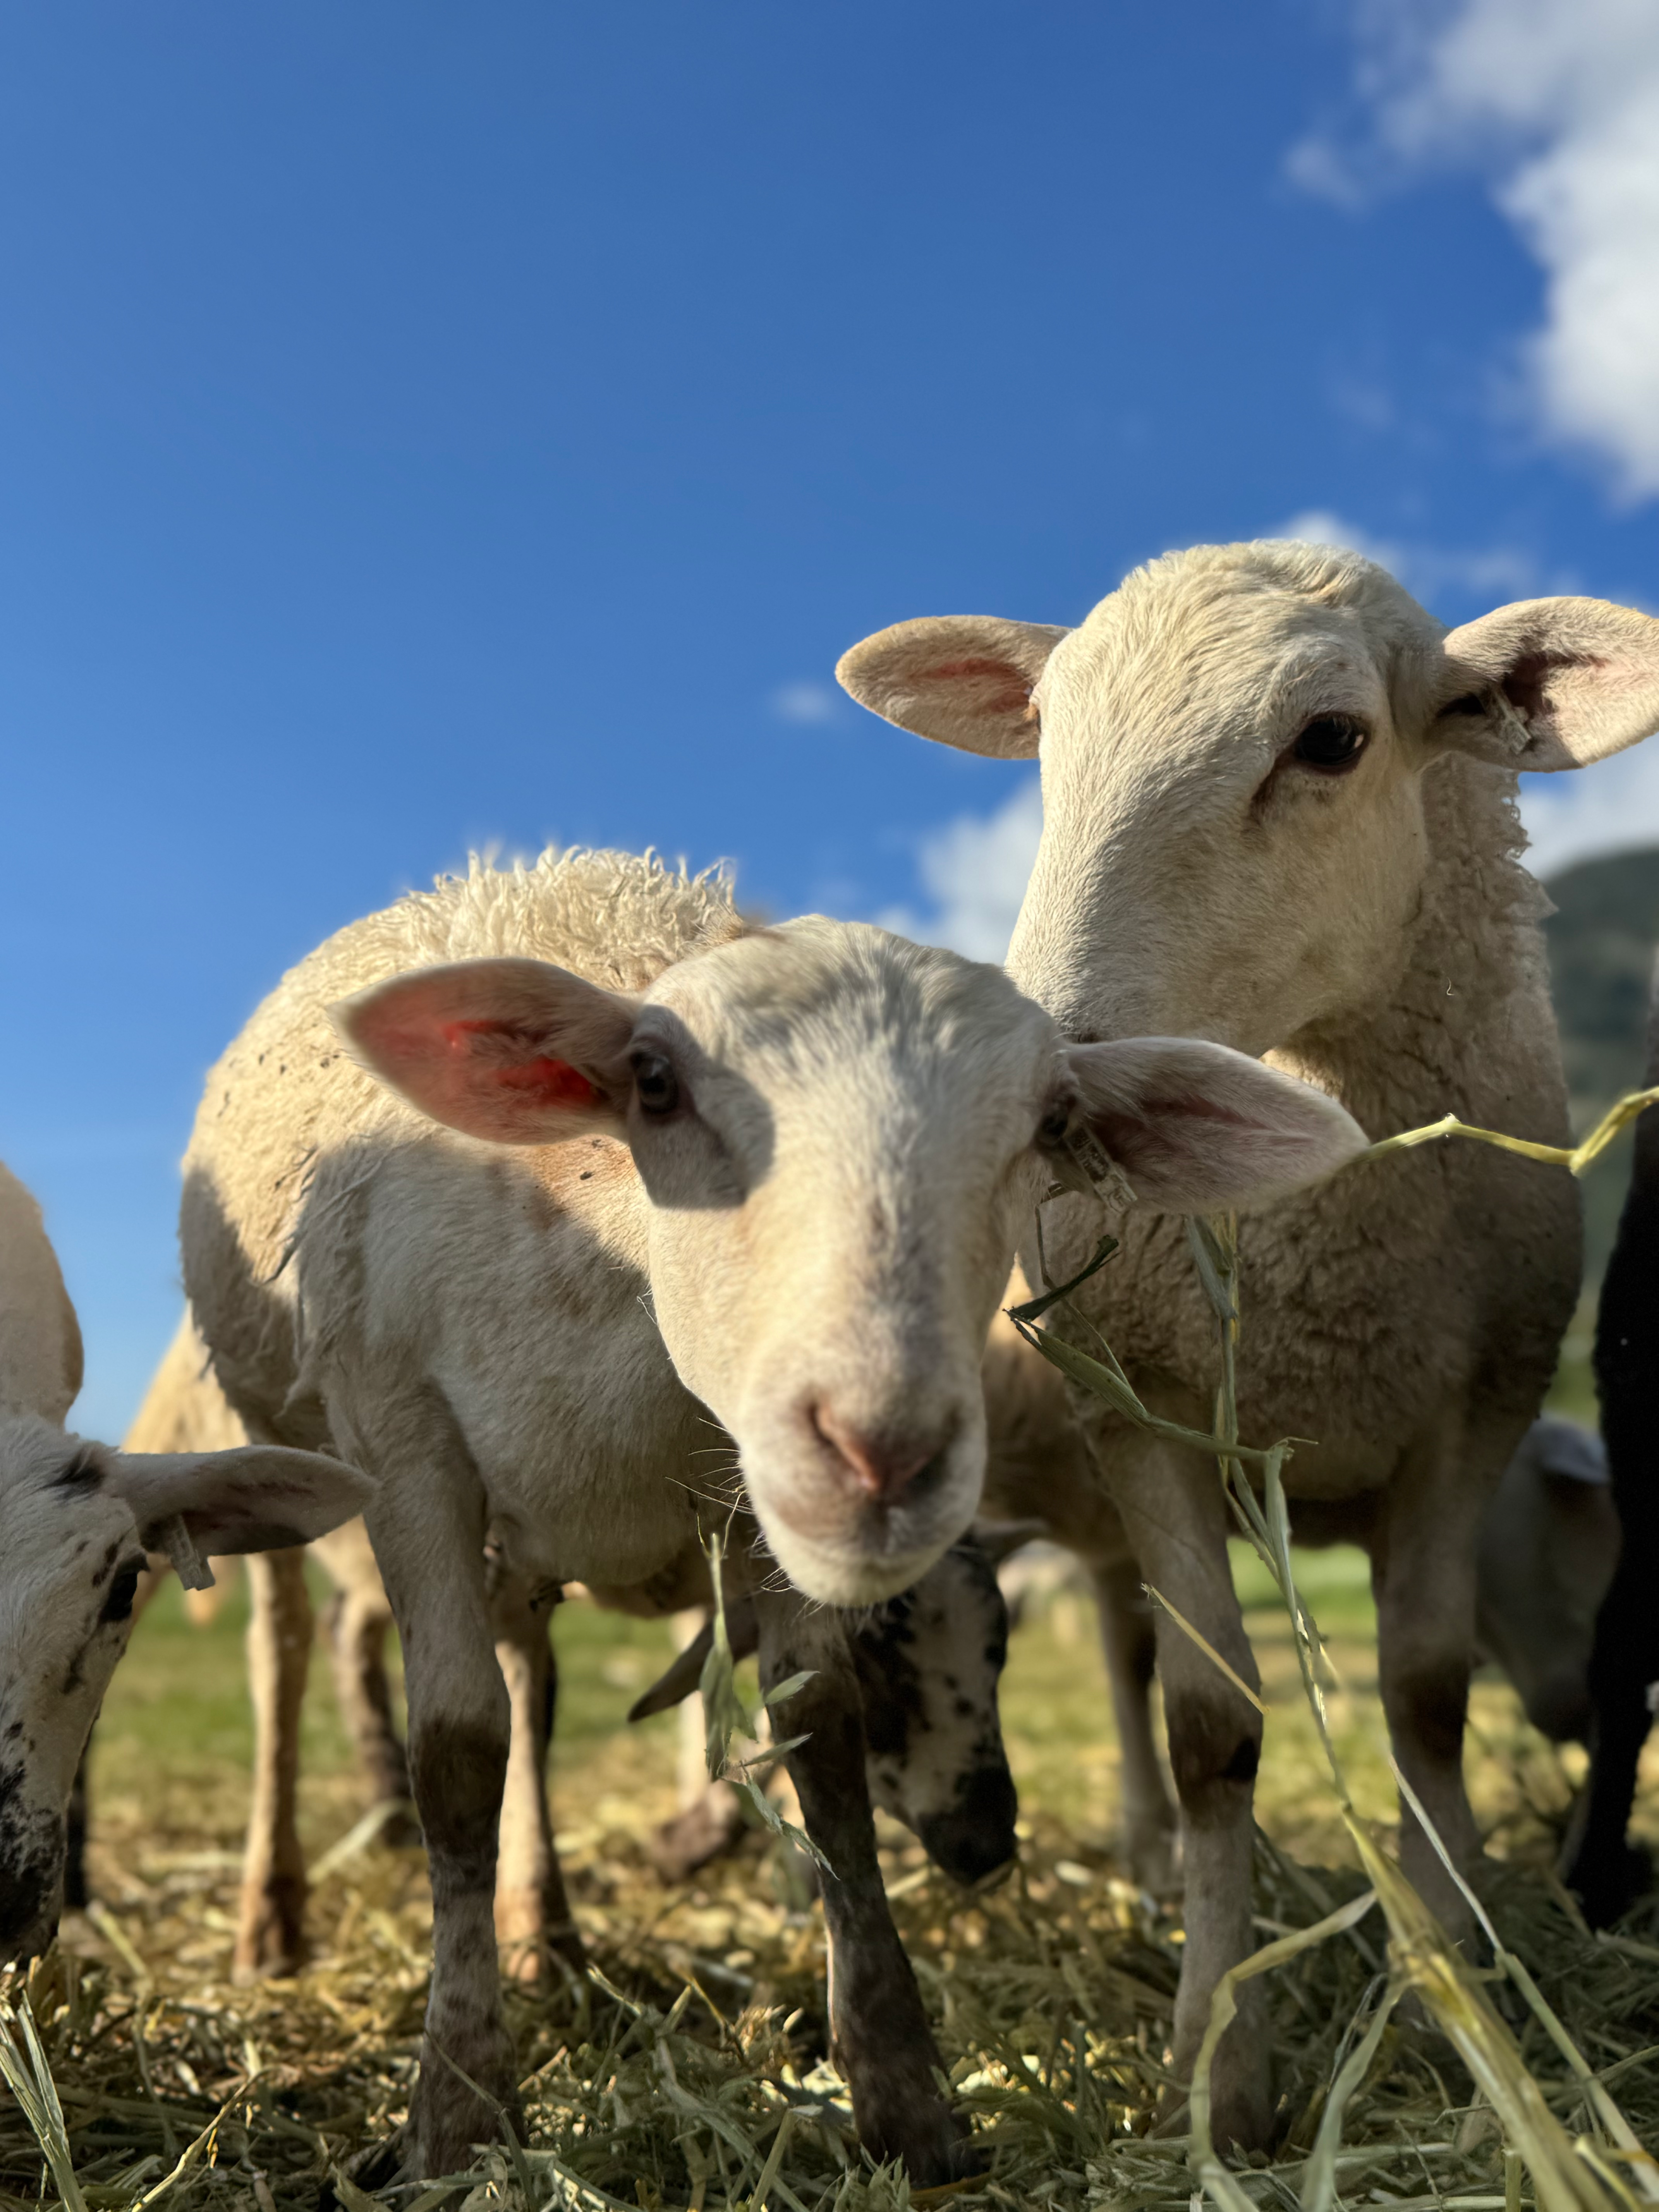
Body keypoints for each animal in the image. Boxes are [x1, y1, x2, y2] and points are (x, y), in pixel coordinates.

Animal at [177, 844, 1364, 2181]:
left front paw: (904, 2098)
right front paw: (456, 2109)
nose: (884, 1451)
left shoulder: (748, 1505)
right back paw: (273, 1919)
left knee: (532, 1677)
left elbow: (816, 1736)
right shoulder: (405, 1433)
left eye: (1051, 1126)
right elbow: (459, 1754)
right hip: (284, 1436)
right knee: (285, 1659)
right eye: (653, 1080)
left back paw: (547, 1934)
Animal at [838, 540, 1659, 2148]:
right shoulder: (1146, 1416)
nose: (1039, 1085)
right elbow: (1210, 1728)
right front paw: (1217, 2067)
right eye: (1045, 745)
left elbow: (1423, 1698)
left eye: (1331, 741)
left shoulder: (1470, 1410)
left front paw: (1457, 1963)